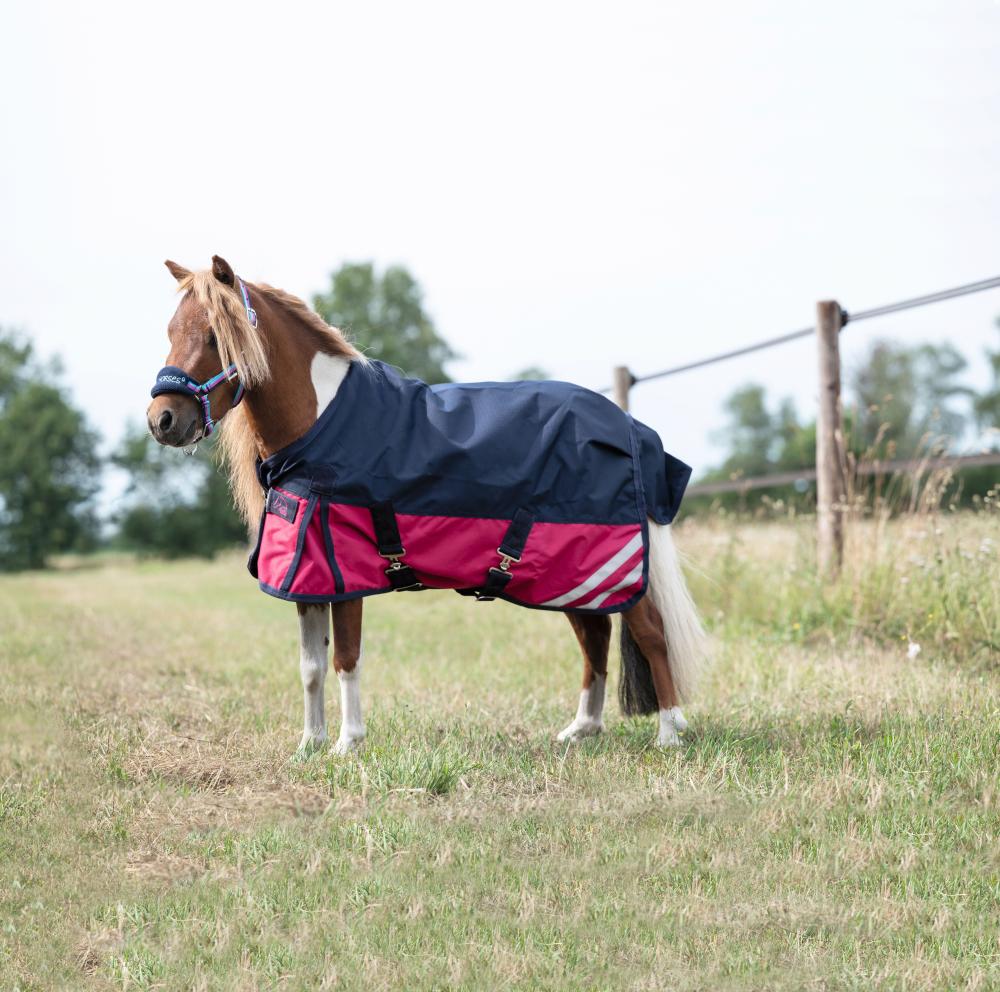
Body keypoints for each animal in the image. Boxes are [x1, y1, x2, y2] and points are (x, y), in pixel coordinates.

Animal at [147, 256, 706, 755]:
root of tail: (631, 430)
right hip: (572, 571)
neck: (322, 424)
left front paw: (348, 744)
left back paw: (668, 734)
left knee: (651, 634)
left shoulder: (345, 575)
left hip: (612, 565)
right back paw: (581, 730)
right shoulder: (307, 576)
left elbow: (345, 659)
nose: (163, 420)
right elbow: (310, 666)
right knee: (595, 636)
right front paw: (310, 744)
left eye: (217, 336)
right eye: (171, 330)